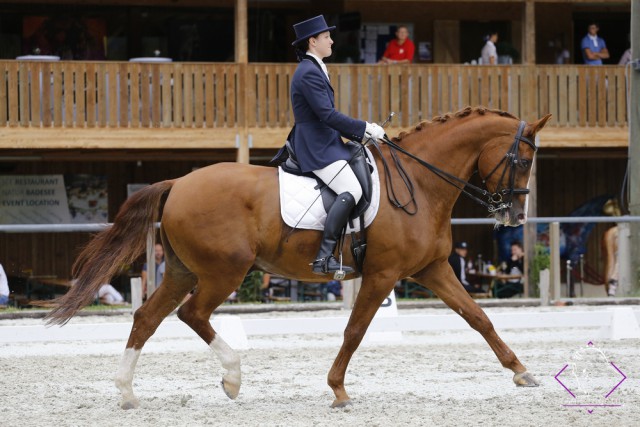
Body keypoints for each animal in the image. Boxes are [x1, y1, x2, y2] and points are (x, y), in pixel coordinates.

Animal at [43, 106, 552, 408]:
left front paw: (522, 373)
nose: (512, 216)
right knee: (193, 314)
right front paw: (339, 390)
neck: (420, 183)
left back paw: (128, 394)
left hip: (184, 270)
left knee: (148, 317)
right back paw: (232, 377)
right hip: (224, 271)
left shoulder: (432, 269)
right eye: (523, 161)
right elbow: (355, 330)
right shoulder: (383, 274)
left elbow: (478, 317)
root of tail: (179, 183)